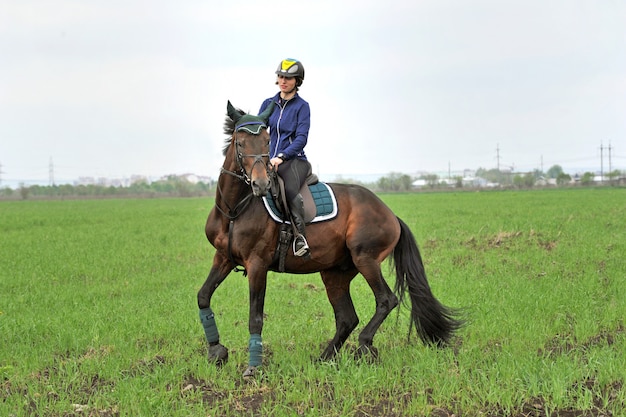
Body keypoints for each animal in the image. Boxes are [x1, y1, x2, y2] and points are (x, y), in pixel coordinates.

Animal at [197, 101, 460, 376]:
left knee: (385, 300)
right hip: (335, 273)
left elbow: (255, 318)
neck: (235, 210)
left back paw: (363, 345)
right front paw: (216, 351)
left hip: (365, 259)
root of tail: (390, 214)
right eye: (240, 142)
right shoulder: (223, 258)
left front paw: (253, 367)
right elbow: (203, 296)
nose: (261, 184)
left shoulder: (257, 264)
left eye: (267, 142)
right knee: (347, 318)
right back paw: (324, 358)